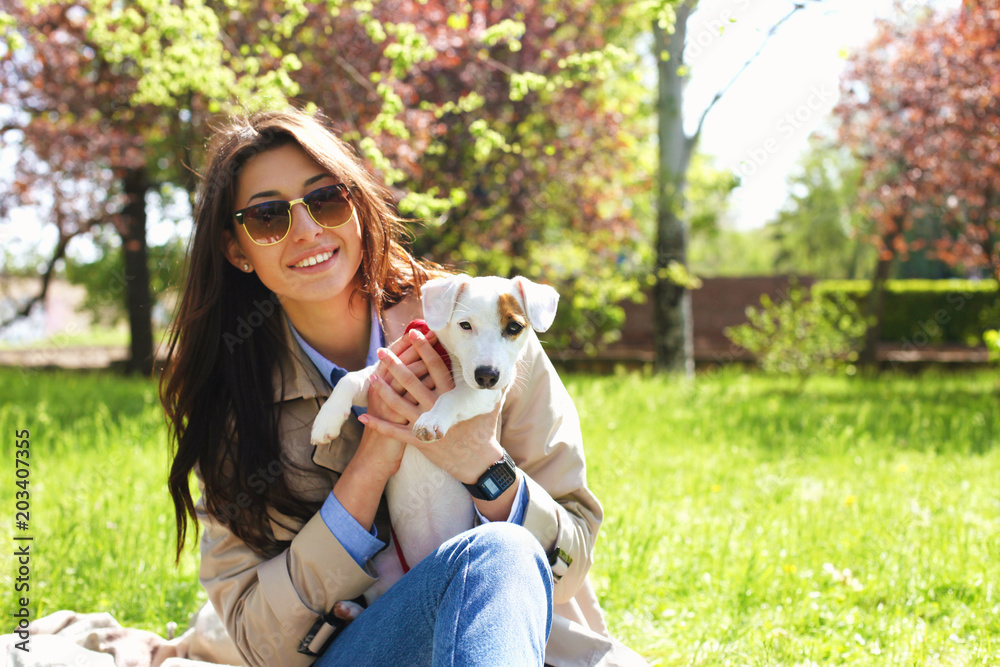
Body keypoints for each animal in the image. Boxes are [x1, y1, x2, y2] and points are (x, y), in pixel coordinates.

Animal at [308, 274, 560, 608]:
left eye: (514, 328)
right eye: (465, 325)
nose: (487, 375)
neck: (450, 359)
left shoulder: (483, 396)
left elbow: (452, 396)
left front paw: (432, 419)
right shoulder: (383, 374)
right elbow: (350, 379)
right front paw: (326, 421)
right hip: (383, 563)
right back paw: (349, 608)